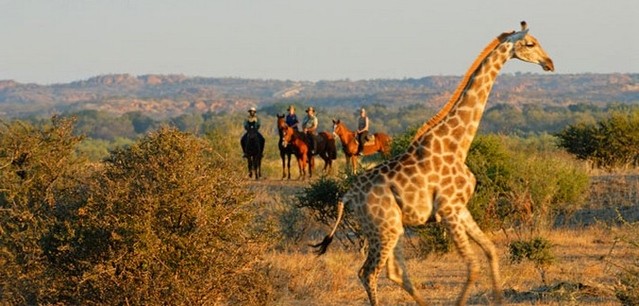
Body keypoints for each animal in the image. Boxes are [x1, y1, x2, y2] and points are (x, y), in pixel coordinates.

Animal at [312, 20, 552, 304]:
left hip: (391, 227)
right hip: (383, 228)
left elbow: (491, 251)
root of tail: (348, 195)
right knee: (368, 273)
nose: (549, 63)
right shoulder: (448, 210)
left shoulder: (460, 208)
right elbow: (472, 265)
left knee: (394, 272)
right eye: (530, 44)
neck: (458, 145)